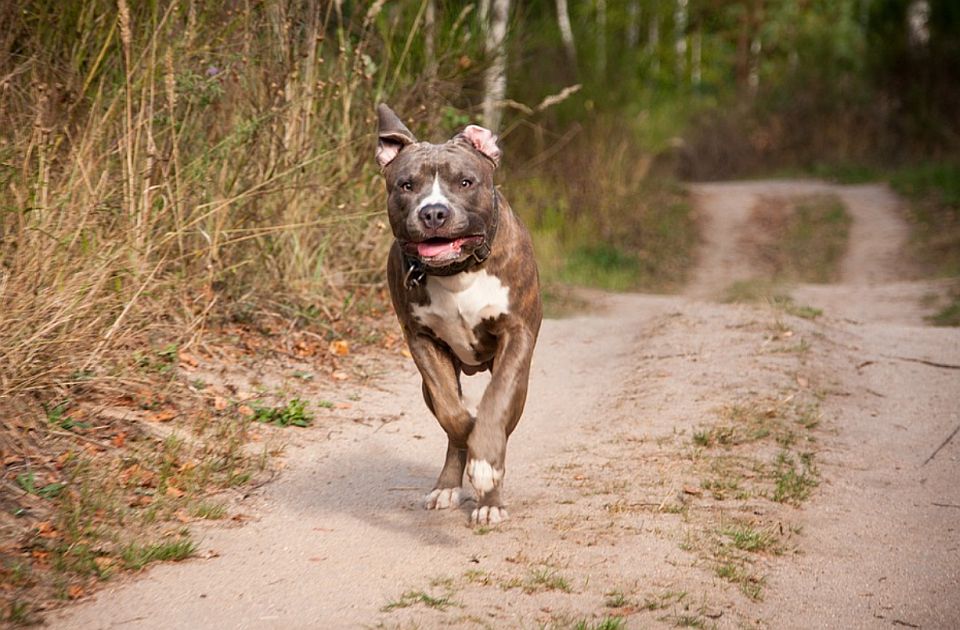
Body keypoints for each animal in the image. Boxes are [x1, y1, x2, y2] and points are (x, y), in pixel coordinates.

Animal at [376, 105, 540, 528]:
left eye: (465, 182)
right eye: (406, 185)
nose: (434, 212)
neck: (457, 272)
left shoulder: (516, 335)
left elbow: (496, 403)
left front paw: (485, 465)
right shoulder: (421, 341)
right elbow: (453, 414)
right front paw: (469, 439)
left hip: (521, 383)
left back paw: (489, 499)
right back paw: (450, 484)